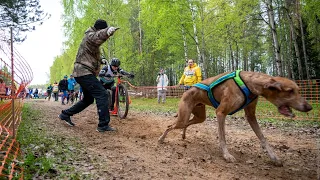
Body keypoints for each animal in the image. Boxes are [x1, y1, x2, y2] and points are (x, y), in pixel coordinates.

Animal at [158, 70, 312, 166]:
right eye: (290, 91)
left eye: (298, 90)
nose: (309, 107)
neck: (249, 82)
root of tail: (187, 90)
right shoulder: (221, 113)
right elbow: (223, 138)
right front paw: (227, 155)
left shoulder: (251, 116)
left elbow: (263, 138)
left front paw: (274, 157)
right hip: (184, 116)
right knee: (170, 126)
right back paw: (161, 139)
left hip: (199, 117)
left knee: (185, 124)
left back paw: (183, 135)